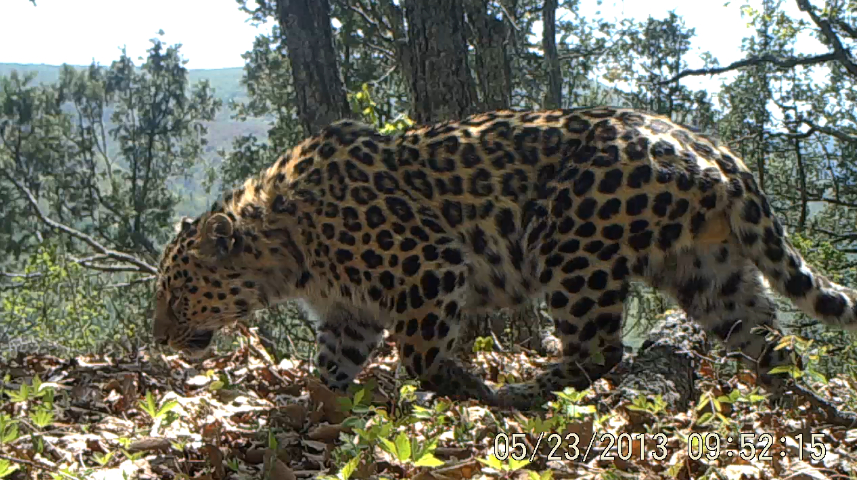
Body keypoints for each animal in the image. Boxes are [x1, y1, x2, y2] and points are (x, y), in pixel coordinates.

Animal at [150, 108, 856, 408]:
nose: (159, 338)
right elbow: (330, 366)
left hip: (569, 244)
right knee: (772, 342)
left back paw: (521, 392)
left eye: (175, 294)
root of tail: (713, 148)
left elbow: (419, 353)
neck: (285, 247)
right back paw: (796, 406)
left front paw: (462, 385)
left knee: (601, 350)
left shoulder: (429, 265)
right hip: (710, 272)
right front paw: (312, 409)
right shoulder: (350, 313)